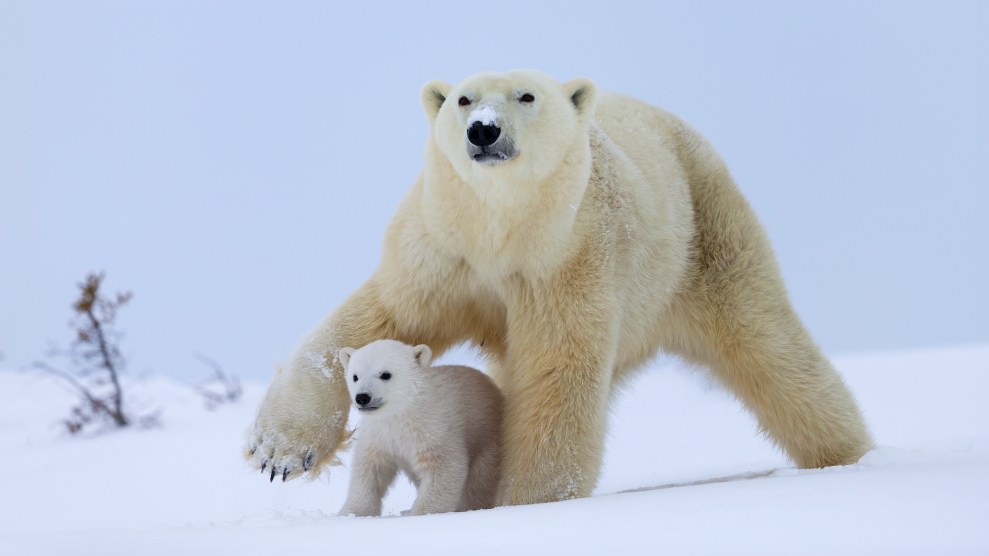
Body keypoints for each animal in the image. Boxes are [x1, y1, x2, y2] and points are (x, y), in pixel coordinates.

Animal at [247, 69, 872, 504]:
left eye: (525, 95)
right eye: (463, 99)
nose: (484, 130)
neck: (502, 230)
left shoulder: (569, 258)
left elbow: (556, 376)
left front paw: (528, 503)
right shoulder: (441, 253)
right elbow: (375, 321)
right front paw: (278, 452)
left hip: (708, 238)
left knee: (773, 351)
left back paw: (850, 456)